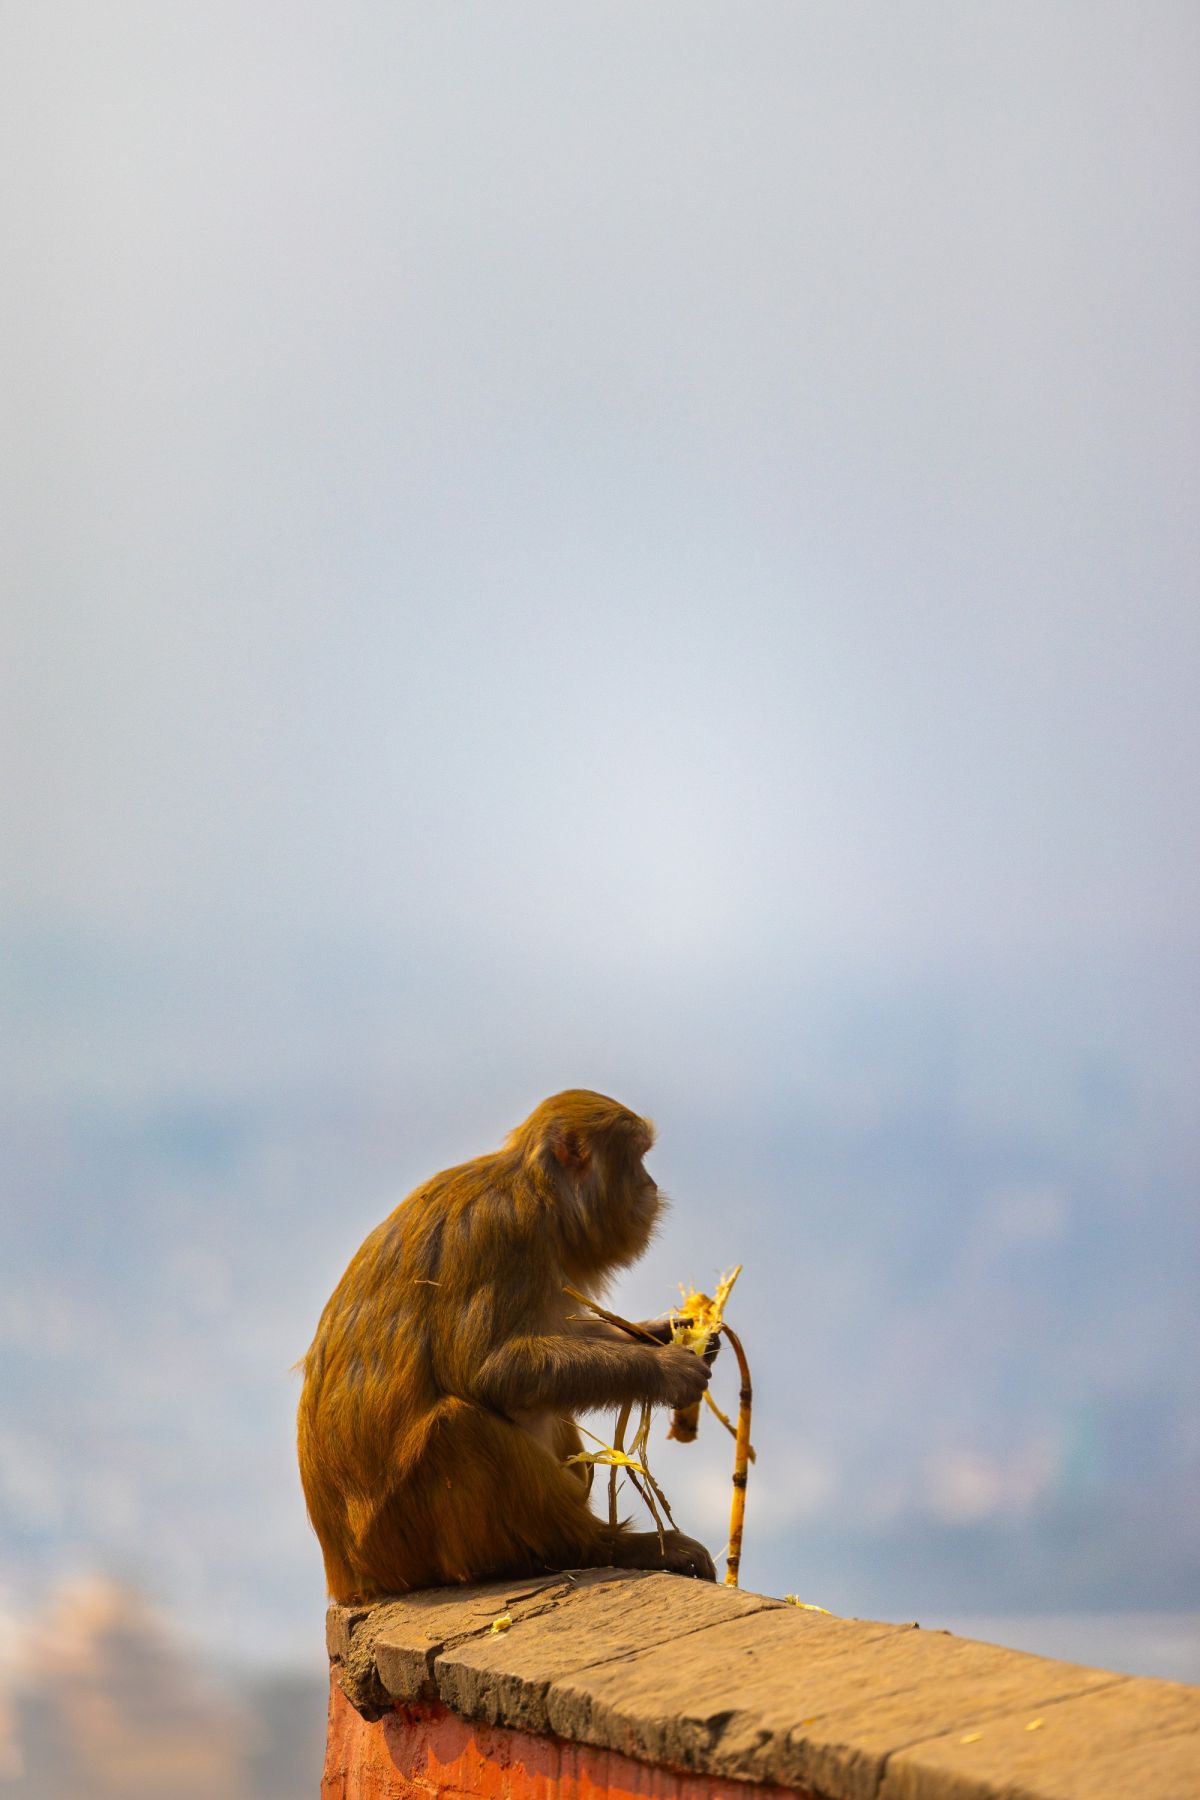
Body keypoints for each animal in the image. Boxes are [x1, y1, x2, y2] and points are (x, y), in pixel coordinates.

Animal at [297, 1090, 716, 1600]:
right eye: (638, 1158)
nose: (651, 1185)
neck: (536, 1190)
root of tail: (350, 1575)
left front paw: (668, 1330)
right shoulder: (509, 1231)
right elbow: (491, 1370)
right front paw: (666, 1369)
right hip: (403, 1542)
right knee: (460, 1424)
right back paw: (602, 1548)